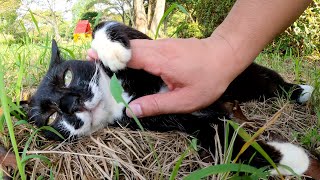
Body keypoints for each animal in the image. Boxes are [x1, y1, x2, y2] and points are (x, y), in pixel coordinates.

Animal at [28, 21, 320, 179]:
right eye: (51, 117)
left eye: (66, 76)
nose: (71, 104)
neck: (116, 99)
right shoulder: (173, 117)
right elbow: (222, 138)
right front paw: (290, 160)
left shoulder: (152, 50)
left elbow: (107, 26)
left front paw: (112, 52)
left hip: (245, 74)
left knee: (271, 82)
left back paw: (300, 91)